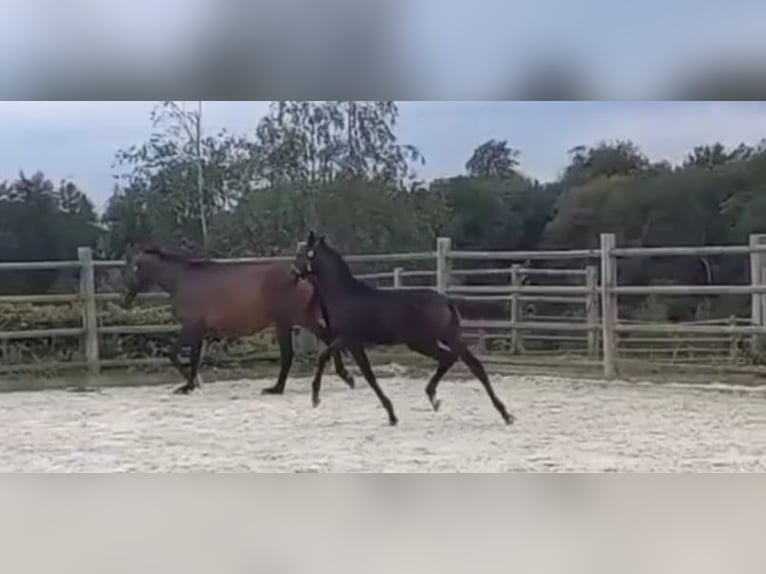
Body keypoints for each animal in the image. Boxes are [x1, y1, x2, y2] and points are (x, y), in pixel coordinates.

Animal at [122, 243, 356, 396]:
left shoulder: (191, 327)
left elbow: (175, 354)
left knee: (290, 354)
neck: (181, 280)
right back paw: (344, 376)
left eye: (133, 268)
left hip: (287, 321)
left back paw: (276, 389)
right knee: (326, 339)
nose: (125, 300)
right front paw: (192, 384)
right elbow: (193, 358)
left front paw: (187, 386)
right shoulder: (201, 332)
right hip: (301, 319)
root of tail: (303, 275)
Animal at [294, 233, 516, 428]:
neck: (345, 296)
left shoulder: (350, 339)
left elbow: (355, 369)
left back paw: (505, 413)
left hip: (435, 339)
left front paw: (316, 397)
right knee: (450, 359)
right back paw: (434, 397)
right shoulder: (347, 341)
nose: (293, 272)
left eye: (302, 253)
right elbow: (353, 367)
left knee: (472, 365)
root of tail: (445, 300)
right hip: (425, 341)